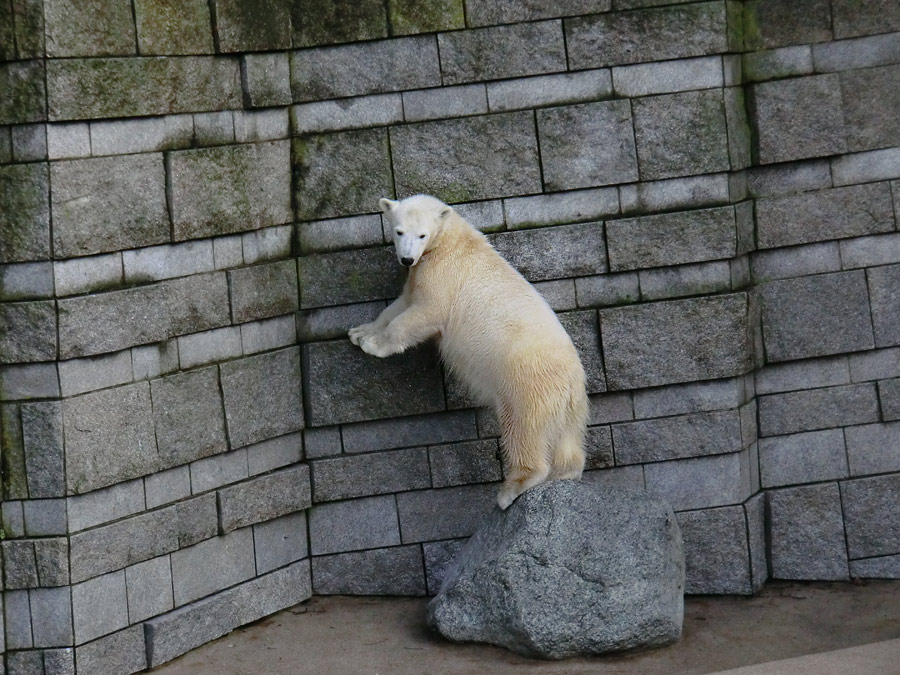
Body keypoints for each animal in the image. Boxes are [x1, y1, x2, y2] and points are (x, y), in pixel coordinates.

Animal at [348, 193, 588, 510]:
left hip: (525, 383)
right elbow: (399, 304)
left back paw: (510, 490)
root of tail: (573, 380)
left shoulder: (443, 275)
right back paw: (565, 473)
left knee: (522, 429)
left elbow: (422, 313)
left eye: (421, 235)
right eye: (399, 231)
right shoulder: (420, 272)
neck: (449, 238)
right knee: (568, 438)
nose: (407, 259)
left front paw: (373, 345)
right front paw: (360, 332)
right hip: (570, 404)